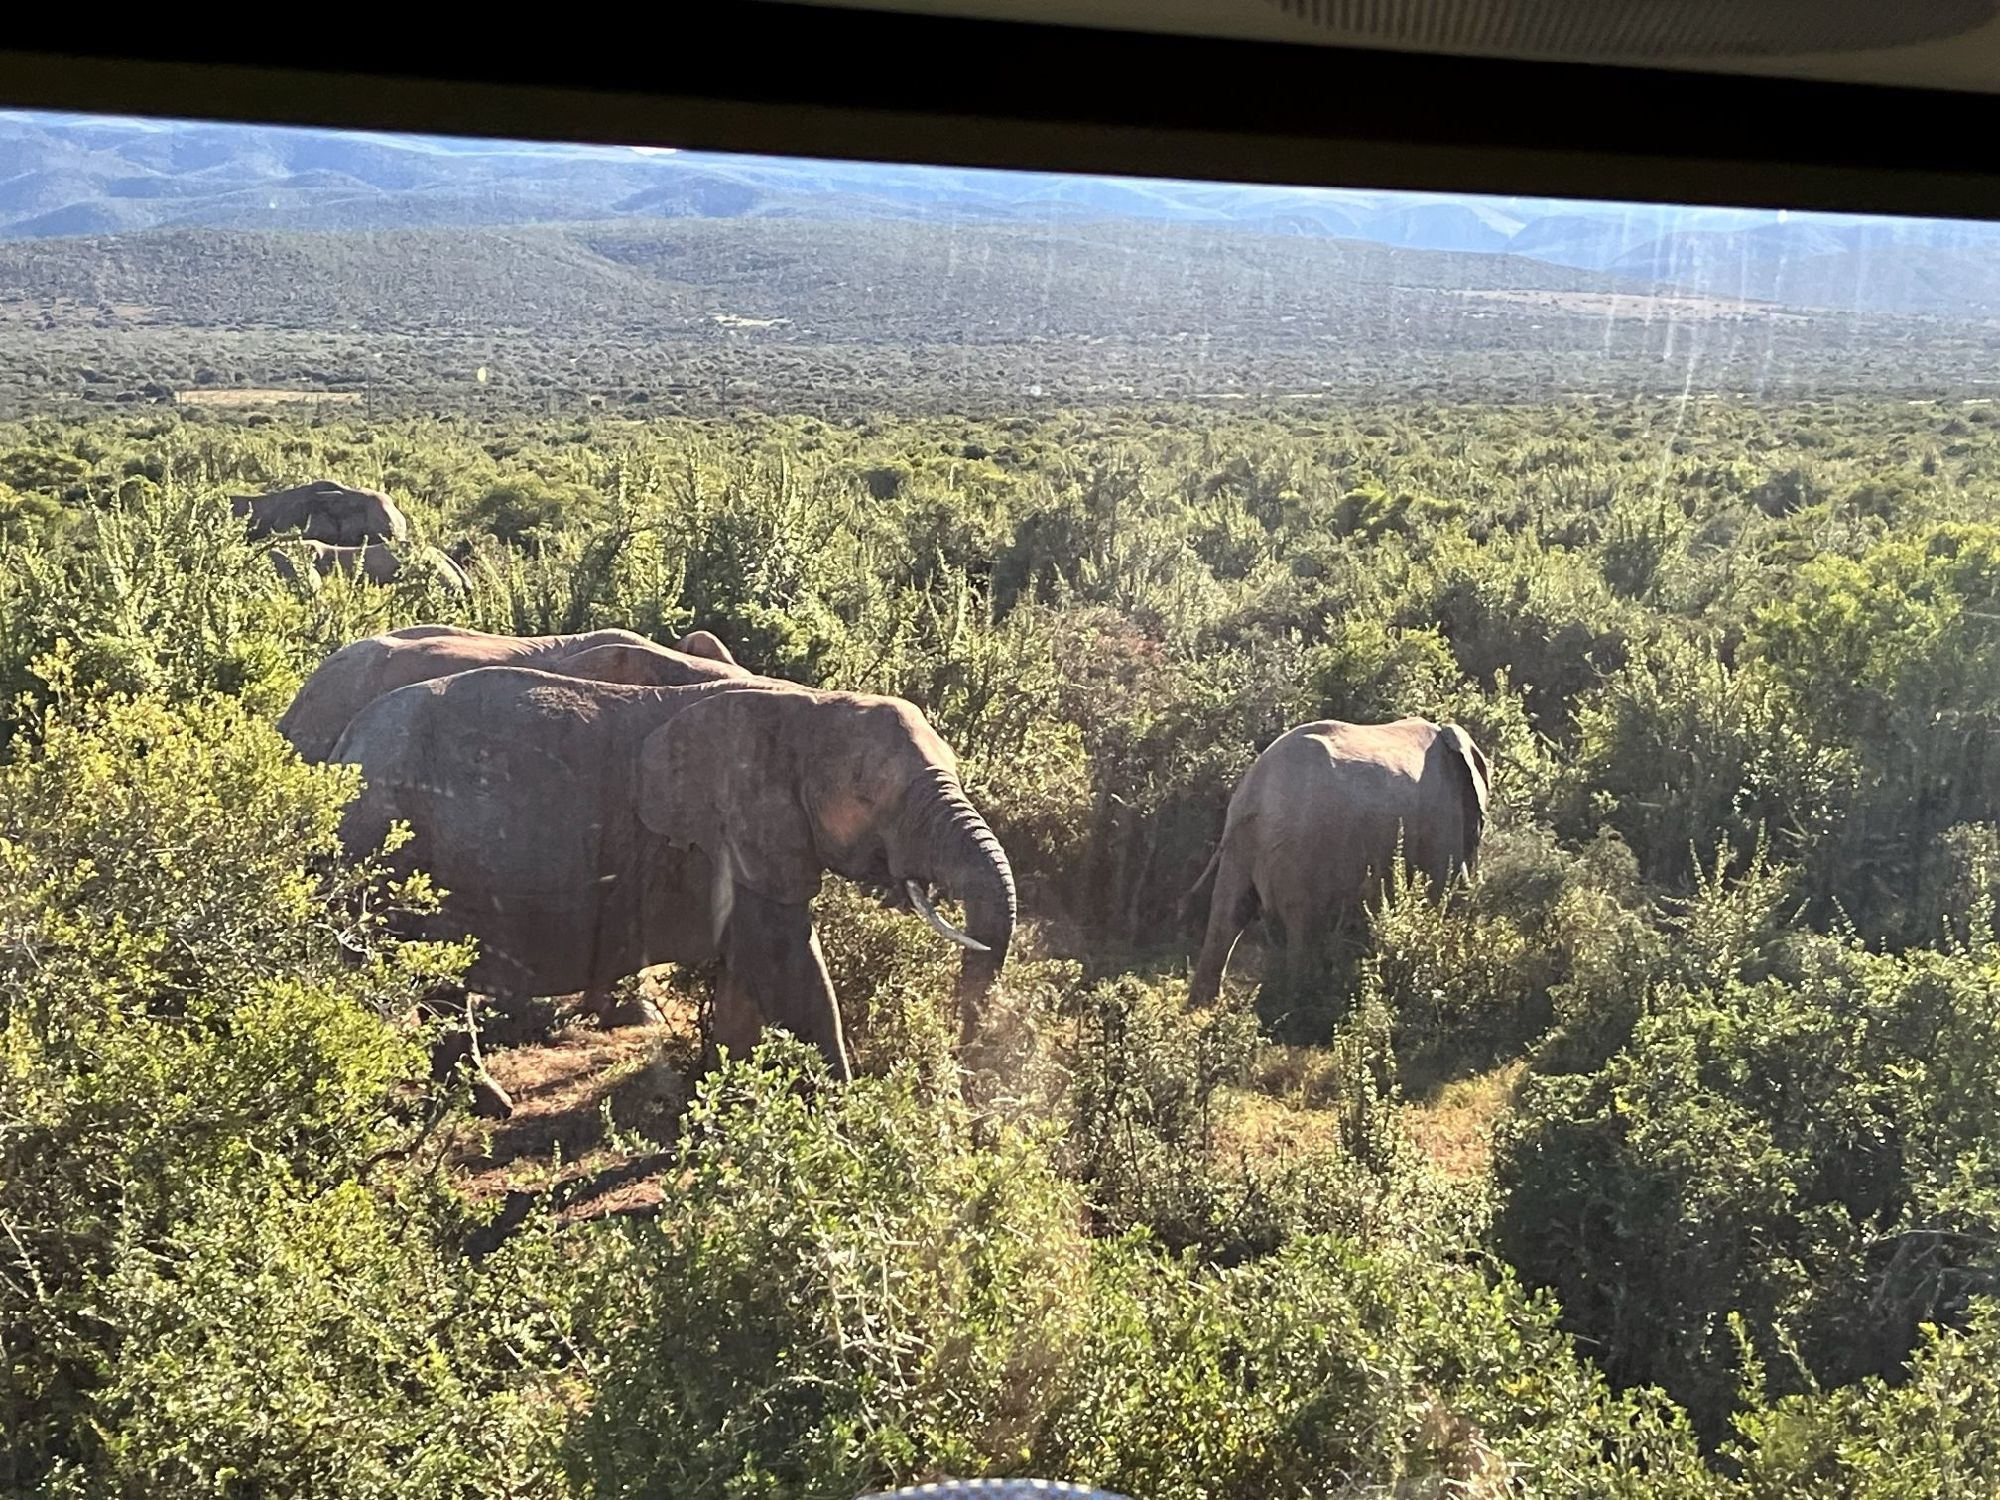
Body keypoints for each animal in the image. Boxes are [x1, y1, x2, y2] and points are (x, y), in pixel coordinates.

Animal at [328, 666, 1017, 1104]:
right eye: (872, 798)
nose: (964, 1079)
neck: (804, 705)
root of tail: (340, 746)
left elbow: (751, 972)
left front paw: (727, 1104)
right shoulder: (734, 835)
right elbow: (791, 967)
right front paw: (849, 1122)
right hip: (389, 844)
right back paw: (491, 1103)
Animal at [1187, 716, 1491, 1009]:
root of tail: (1253, 795)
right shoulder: (1441, 819)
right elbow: (1448, 888)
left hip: (1243, 847)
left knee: (1228, 913)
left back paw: (1205, 1007)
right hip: (1301, 848)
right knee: (1302, 927)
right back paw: (1296, 1004)